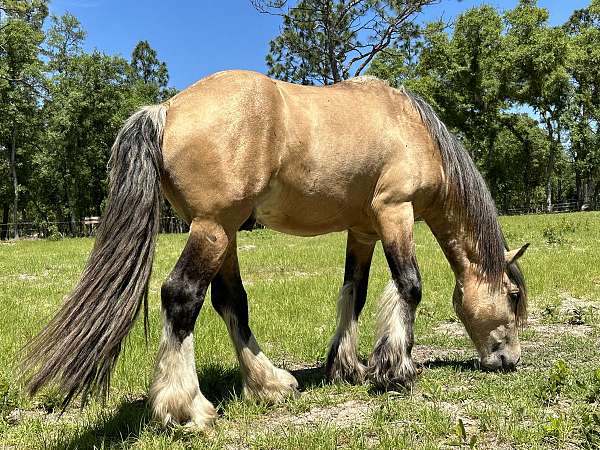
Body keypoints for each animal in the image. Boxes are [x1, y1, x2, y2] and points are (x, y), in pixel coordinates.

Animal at [21, 69, 528, 428]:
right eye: (513, 296)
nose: (509, 361)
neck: (410, 128)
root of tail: (165, 108)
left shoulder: (363, 230)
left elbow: (355, 293)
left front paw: (347, 367)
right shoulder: (394, 213)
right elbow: (409, 286)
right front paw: (396, 369)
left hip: (224, 234)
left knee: (230, 302)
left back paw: (269, 384)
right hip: (213, 229)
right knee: (182, 296)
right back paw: (187, 408)